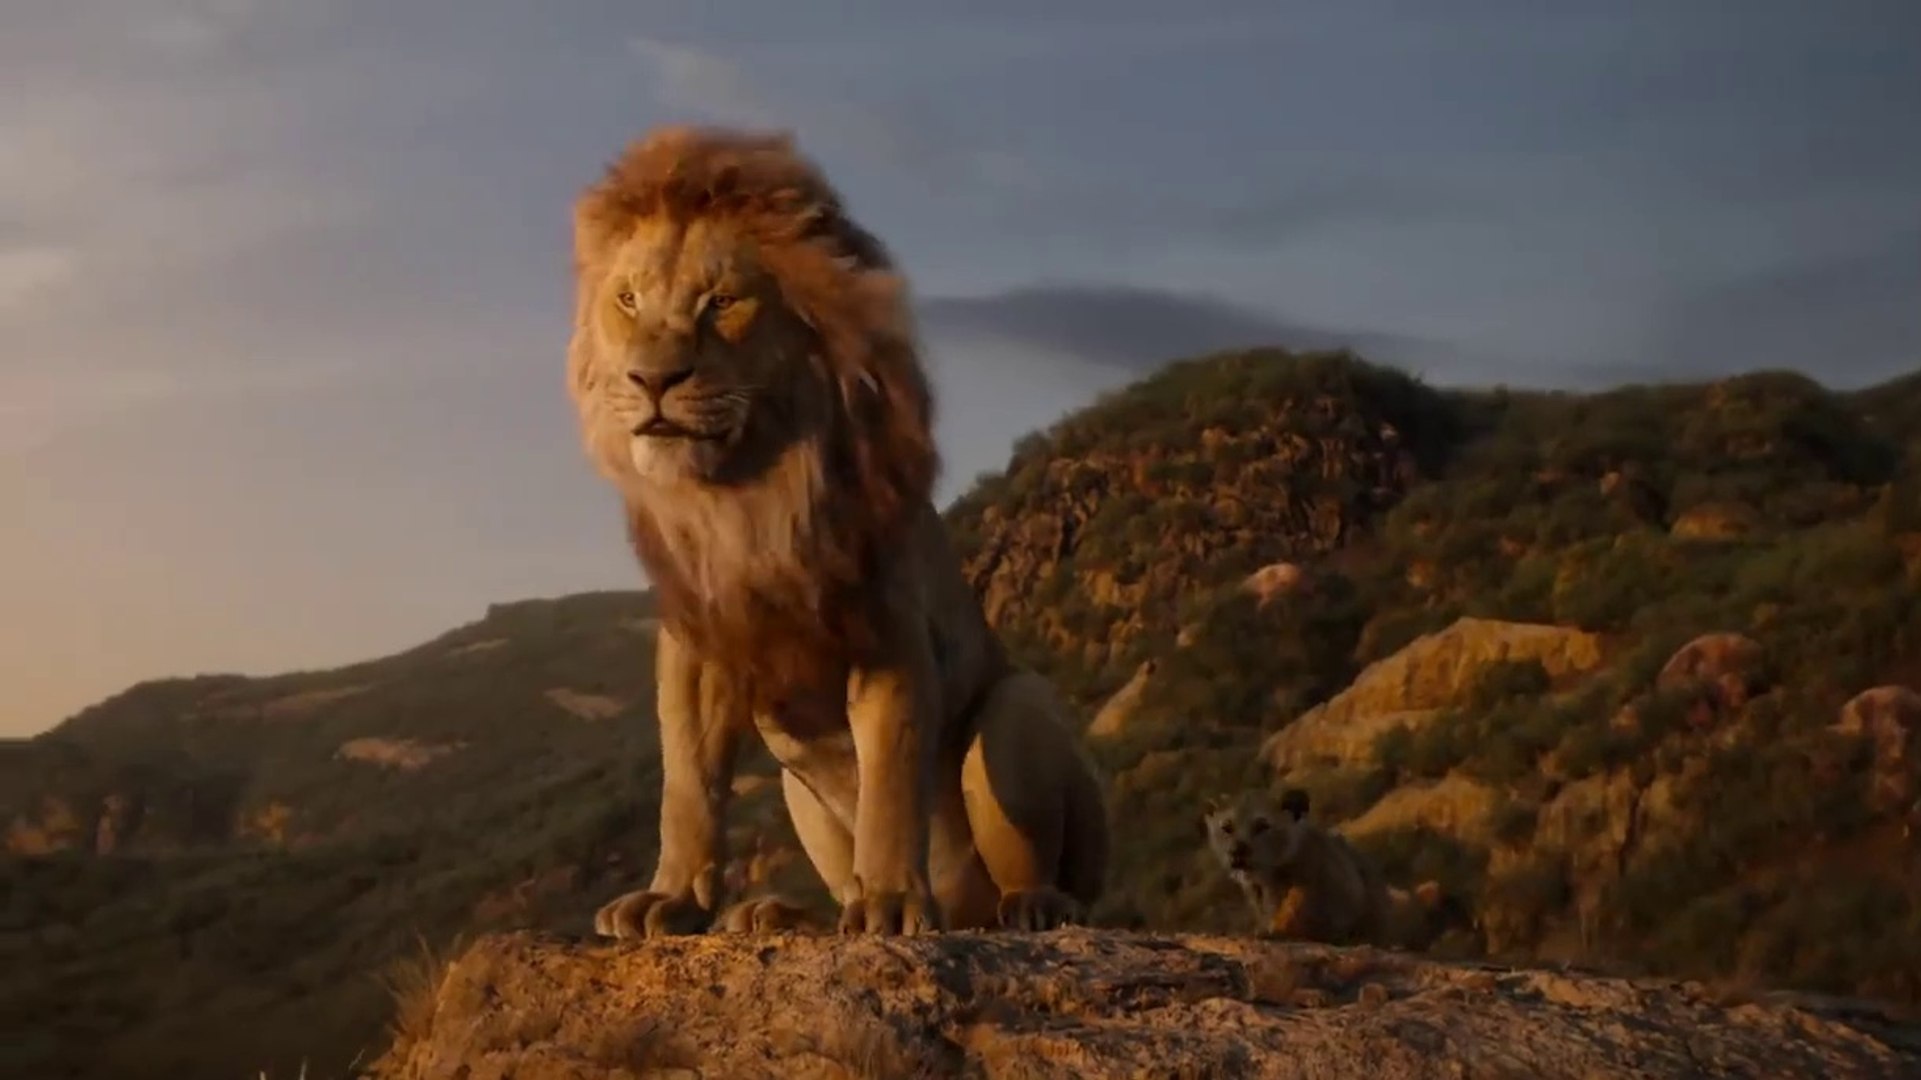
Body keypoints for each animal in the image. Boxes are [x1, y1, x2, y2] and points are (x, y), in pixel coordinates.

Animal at [565, 125, 1111, 937]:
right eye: (628, 300)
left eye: (722, 301)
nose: (651, 381)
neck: (744, 494)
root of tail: (963, 911)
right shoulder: (698, 642)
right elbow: (688, 784)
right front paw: (672, 898)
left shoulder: (888, 630)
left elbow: (889, 778)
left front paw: (887, 902)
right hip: (800, 791)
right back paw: (779, 916)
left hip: (1021, 710)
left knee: (1048, 872)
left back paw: (1030, 904)